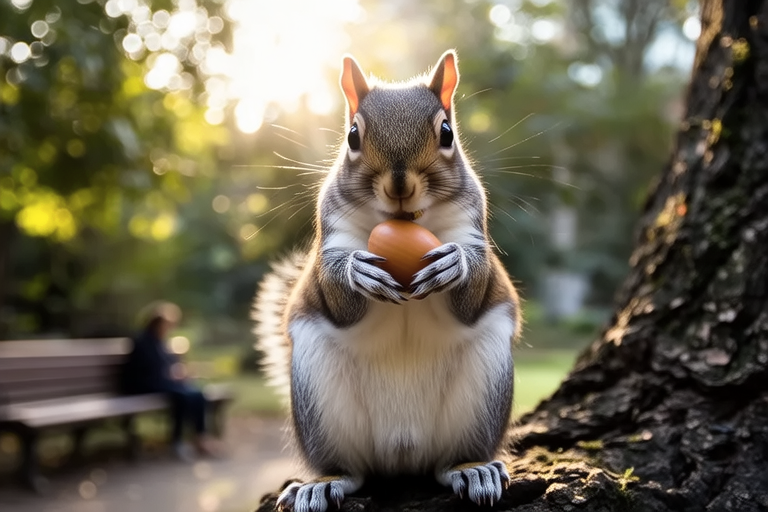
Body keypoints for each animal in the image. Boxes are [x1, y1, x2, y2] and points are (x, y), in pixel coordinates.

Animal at [253, 50, 521, 512]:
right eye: (352, 136)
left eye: (447, 132)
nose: (399, 185)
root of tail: (402, 454)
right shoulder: (332, 232)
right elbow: (335, 294)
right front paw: (356, 271)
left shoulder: (472, 225)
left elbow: (474, 292)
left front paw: (456, 265)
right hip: (321, 402)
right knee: (351, 470)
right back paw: (322, 482)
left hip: (483, 392)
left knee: (447, 463)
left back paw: (473, 468)